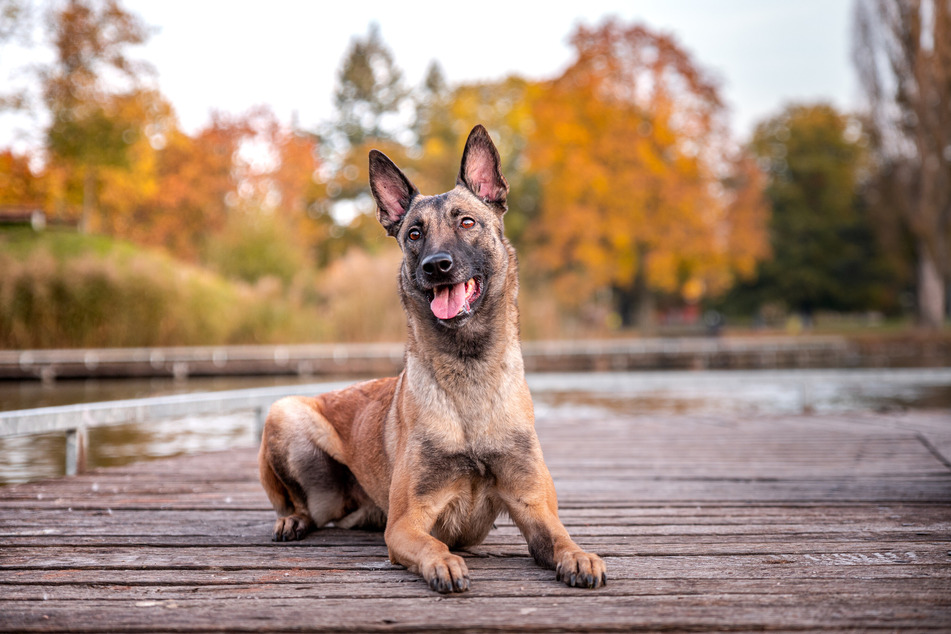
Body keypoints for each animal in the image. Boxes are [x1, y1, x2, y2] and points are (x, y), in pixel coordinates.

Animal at [256, 124, 608, 592]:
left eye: (466, 221)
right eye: (414, 234)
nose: (436, 266)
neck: (468, 371)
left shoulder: (533, 505)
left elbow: (559, 537)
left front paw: (579, 556)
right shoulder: (406, 523)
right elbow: (432, 543)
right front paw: (444, 563)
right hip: (284, 412)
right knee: (298, 505)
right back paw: (292, 520)